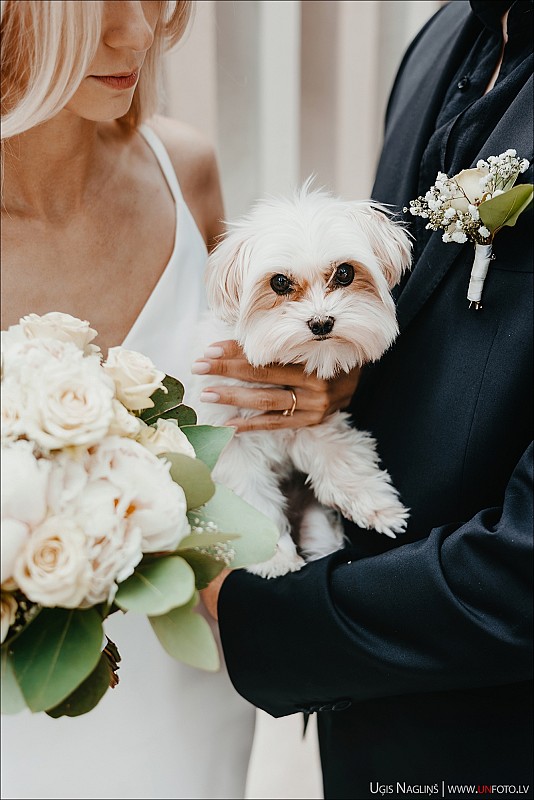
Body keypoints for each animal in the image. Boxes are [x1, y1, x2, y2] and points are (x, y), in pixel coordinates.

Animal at [191, 184, 412, 580]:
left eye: (344, 273)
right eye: (279, 282)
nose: (321, 322)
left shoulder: (314, 420)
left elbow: (340, 456)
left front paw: (375, 504)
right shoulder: (231, 444)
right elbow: (252, 499)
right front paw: (273, 555)